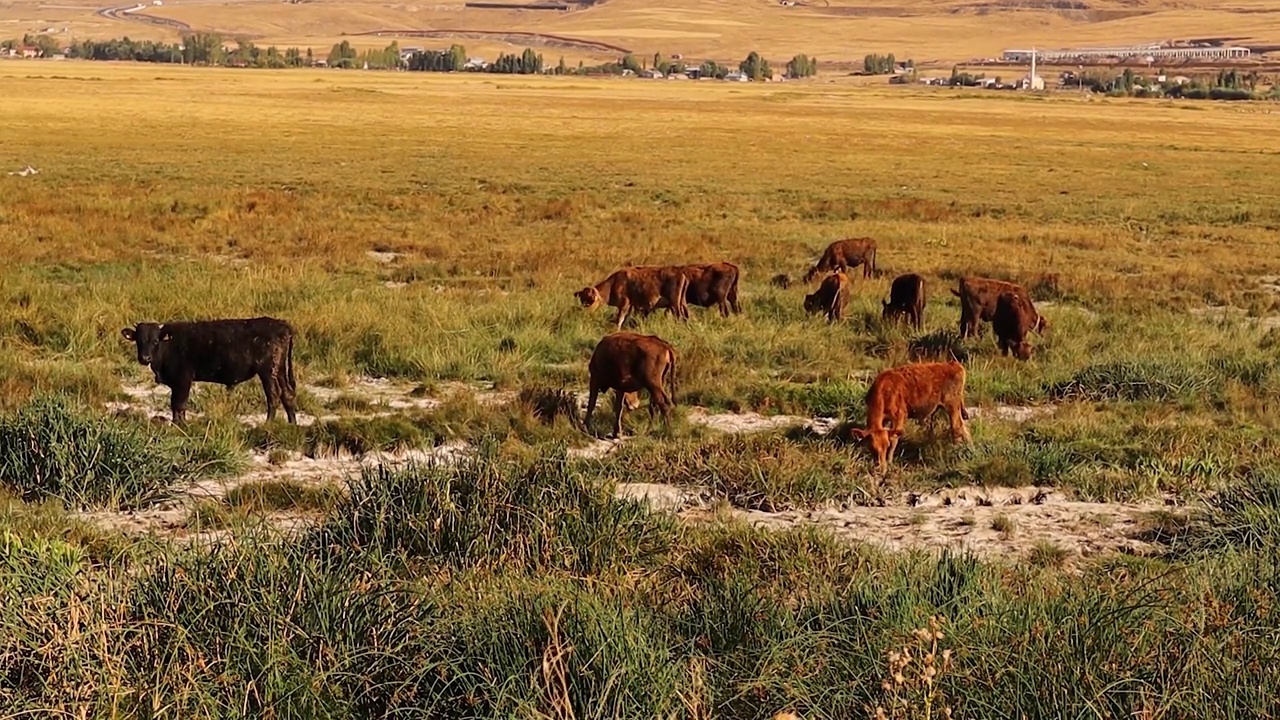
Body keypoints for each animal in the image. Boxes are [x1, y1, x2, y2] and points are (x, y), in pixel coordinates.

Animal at [120, 316, 298, 422]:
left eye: (155, 341)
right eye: (139, 341)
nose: (145, 358)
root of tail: (282, 325)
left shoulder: (183, 380)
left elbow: (179, 404)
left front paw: (179, 426)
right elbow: (175, 405)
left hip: (267, 371)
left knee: (273, 396)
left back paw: (268, 424)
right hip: (279, 370)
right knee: (287, 394)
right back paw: (292, 424)